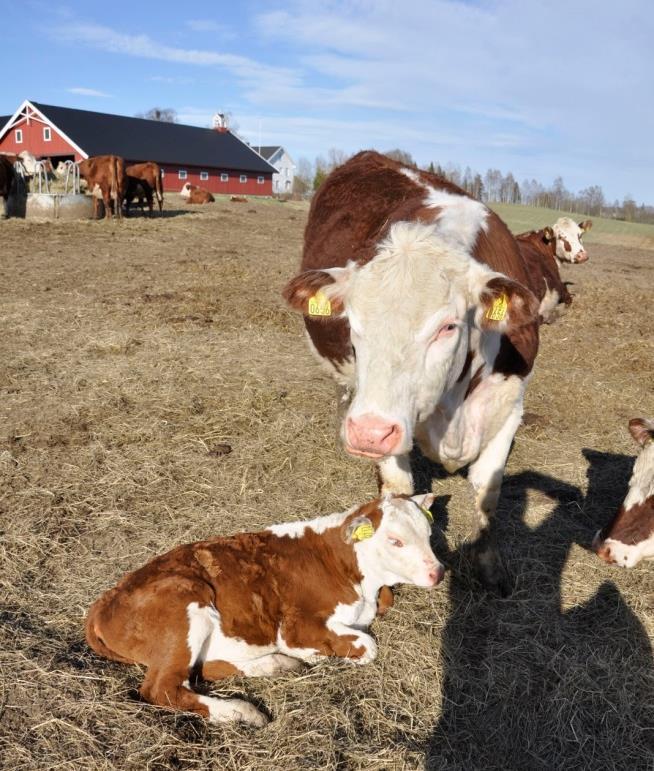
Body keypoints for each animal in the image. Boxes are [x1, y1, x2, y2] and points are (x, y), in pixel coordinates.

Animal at [87, 494, 444, 728]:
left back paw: (275, 664)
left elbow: (386, 601)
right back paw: (242, 711)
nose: (438, 572)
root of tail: (103, 602)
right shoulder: (295, 627)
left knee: (201, 669)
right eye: (395, 540)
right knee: (162, 688)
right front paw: (316, 655)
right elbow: (367, 645)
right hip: (184, 604)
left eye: (428, 535)